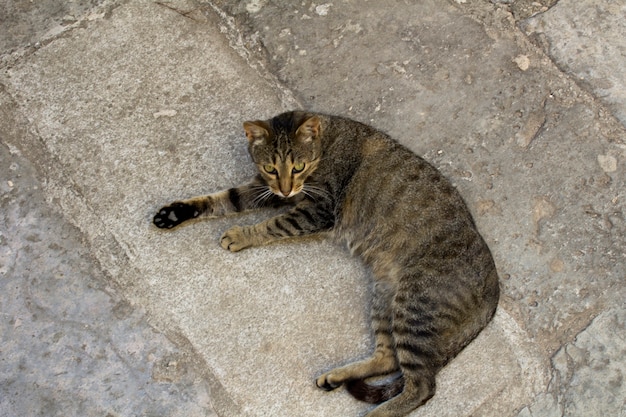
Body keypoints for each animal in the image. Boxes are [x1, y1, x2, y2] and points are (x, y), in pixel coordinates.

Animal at [151, 110, 498, 416]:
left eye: (299, 166)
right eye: (271, 168)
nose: (286, 187)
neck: (325, 146)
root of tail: (494, 289)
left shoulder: (316, 210)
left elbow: (272, 225)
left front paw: (241, 235)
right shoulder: (267, 190)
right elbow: (225, 198)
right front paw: (176, 212)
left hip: (414, 306)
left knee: (422, 386)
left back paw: (374, 414)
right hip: (386, 297)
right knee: (388, 358)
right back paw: (337, 376)